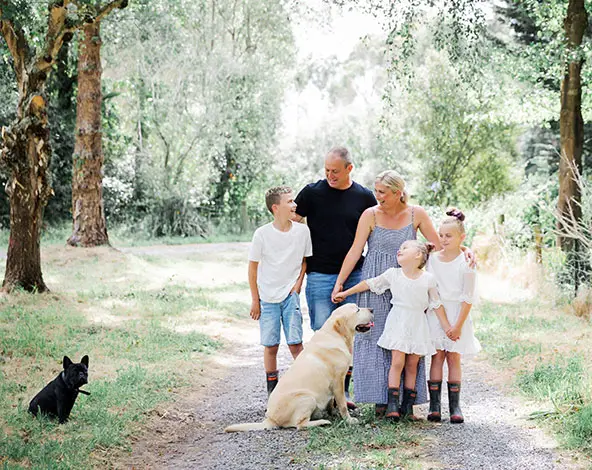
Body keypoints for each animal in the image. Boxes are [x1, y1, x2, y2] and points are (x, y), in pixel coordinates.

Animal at [224, 302, 372, 432]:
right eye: (357, 310)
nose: (372, 309)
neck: (335, 335)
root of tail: (270, 419)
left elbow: (332, 402)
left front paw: (333, 413)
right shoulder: (338, 381)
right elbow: (342, 404)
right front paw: (349, 420)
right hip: (307, 398)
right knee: (300, 424)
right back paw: (322, 422)